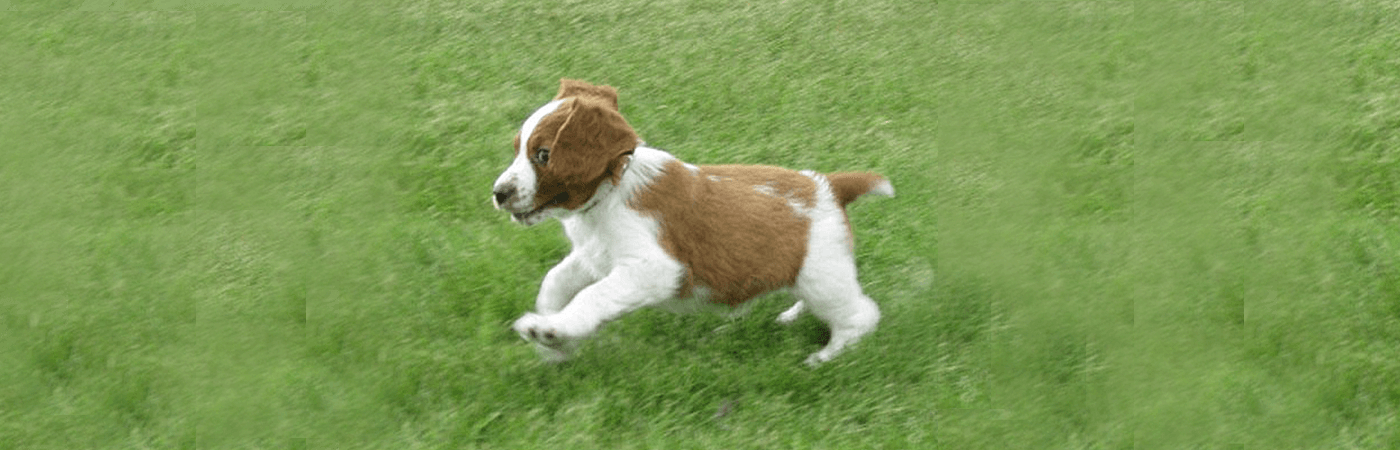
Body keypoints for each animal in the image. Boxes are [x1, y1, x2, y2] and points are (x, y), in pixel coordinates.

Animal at [487, 77, 890, 364]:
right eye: (518, 148)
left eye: (543, 155)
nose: (498, 193)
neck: (610, 193)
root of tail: (831, 185)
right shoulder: (594, 257)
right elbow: (555, 282)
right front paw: (555, 344)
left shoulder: (654, 268)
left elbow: (592, 295)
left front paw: (552, 331)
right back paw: (790, 317)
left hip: (822, 277)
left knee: (861, 315)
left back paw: (826, 357)